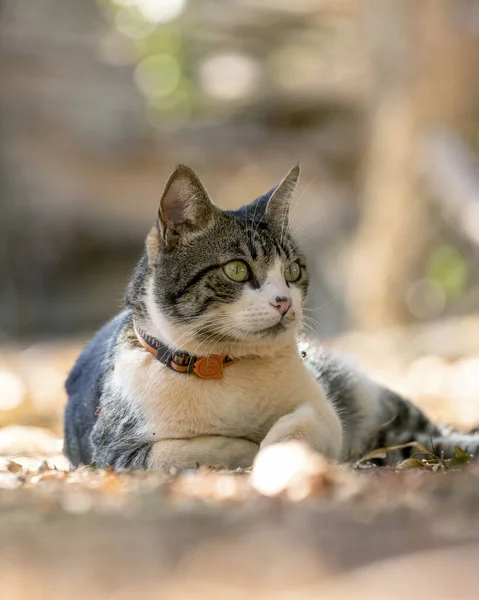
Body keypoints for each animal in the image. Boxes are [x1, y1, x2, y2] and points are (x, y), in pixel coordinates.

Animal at [63, 163, 479, 468]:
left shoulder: (322, 408)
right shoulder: (113, 452)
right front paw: (244, 447)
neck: (221, 365)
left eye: (293, 271)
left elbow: (297, 427)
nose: (284, 302)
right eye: (236, 270)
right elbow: (186, 450)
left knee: (429, 434)